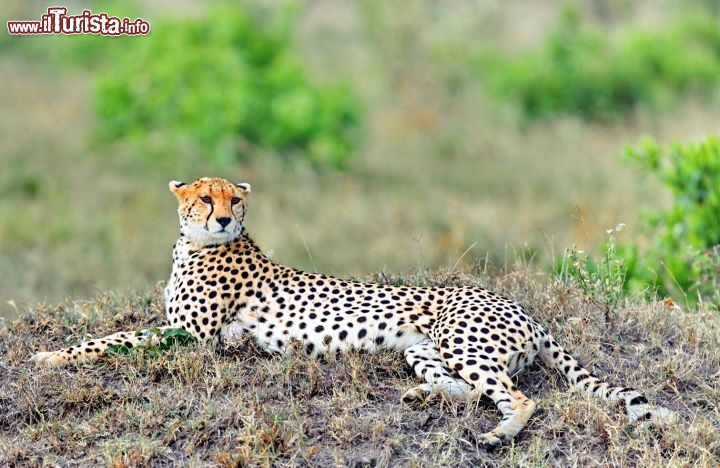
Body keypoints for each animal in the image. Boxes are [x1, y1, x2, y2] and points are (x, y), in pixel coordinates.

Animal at [33, 177, 676, 448]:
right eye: (204, 198)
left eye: (234, 198)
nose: (223, 217)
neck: (198, 244)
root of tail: (526, 308)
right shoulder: (189, 333)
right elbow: (115, 335)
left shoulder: (192, 337)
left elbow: (111, 338)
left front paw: (47, 356)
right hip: (423, 347)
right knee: (468, 388)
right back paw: (420, 397)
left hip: (463, 340)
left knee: (519, 397)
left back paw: (496, 436)